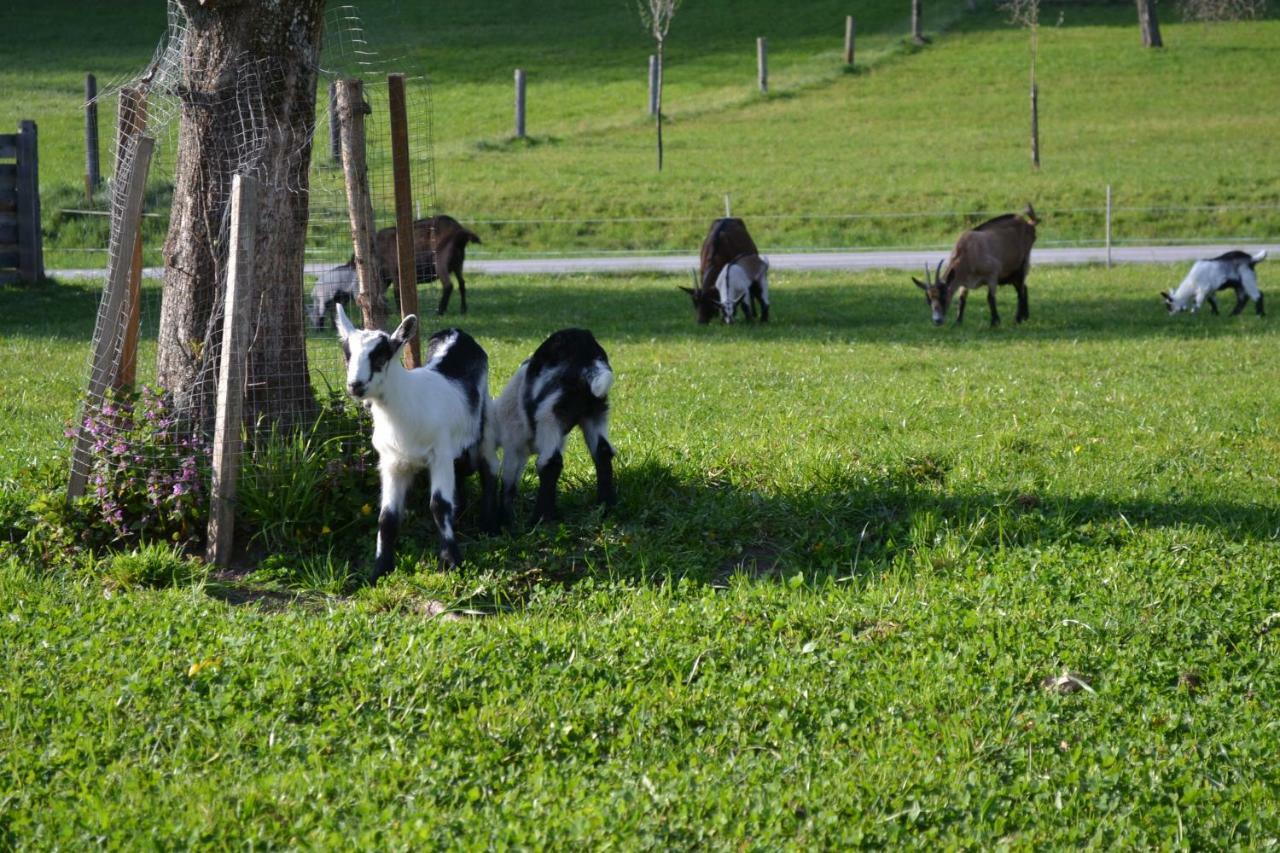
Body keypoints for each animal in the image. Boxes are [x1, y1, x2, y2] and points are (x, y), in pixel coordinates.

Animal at [332, 302, 496, 581]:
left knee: (487, 467)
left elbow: (439, 505)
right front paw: (380, 569)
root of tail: (456, 331)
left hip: (483, 419)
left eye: (381, 356)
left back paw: (491, 523)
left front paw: (452, 561)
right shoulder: (392, 461)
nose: (355, 385)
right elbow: (387, 516)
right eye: (347, 355)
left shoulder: (440, 453)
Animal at [494, 326, 614, 522]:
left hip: (550, 412)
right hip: (596, 411)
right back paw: (605, 506)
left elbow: (509, 481)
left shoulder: (513, 445)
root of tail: (586, 353)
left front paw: (505, 516)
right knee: (603, 451)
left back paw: (541, 518)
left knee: (551, 462)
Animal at [911, 204, 1039, 325]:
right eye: (928, 299)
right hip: (1011, 273)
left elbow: (990, 298)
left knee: (1020, 290)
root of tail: (1029, 224)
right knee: (1024, 287)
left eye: (943, 296)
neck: (967, 252)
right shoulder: (964, 281)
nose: (937, 320)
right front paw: (957, 322)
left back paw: (1017, 319)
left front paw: (994, 322)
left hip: (1023, 262)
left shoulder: (993, 273)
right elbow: (962, 299)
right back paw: (1025, 316)